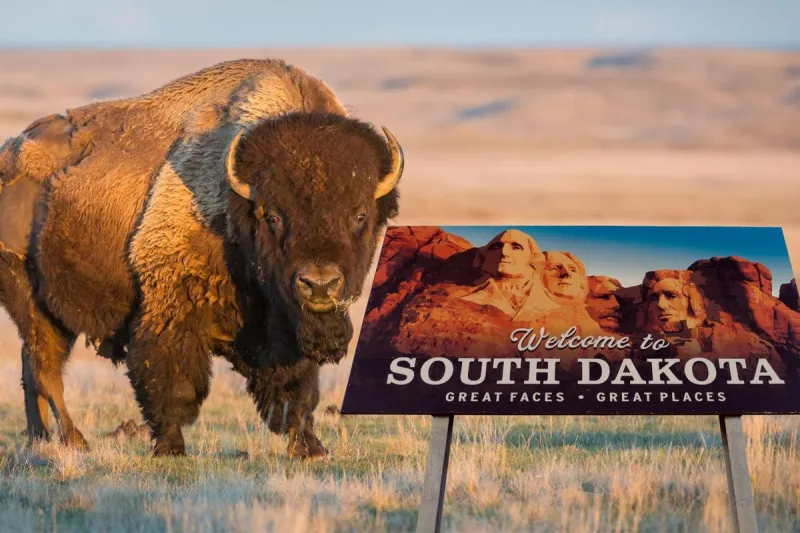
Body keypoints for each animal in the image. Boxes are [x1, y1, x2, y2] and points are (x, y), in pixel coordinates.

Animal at [3, 58, 403, 458]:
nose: (319, 285)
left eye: (360, 215)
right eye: (273, 216)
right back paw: (75, 440)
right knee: (45, 369)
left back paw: (39, 438)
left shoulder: (286, 329)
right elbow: (173, 382)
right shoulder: (172, 308)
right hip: (31, 301)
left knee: (31, 368)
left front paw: (310, 448)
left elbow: (297, 390)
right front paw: (170, 447)